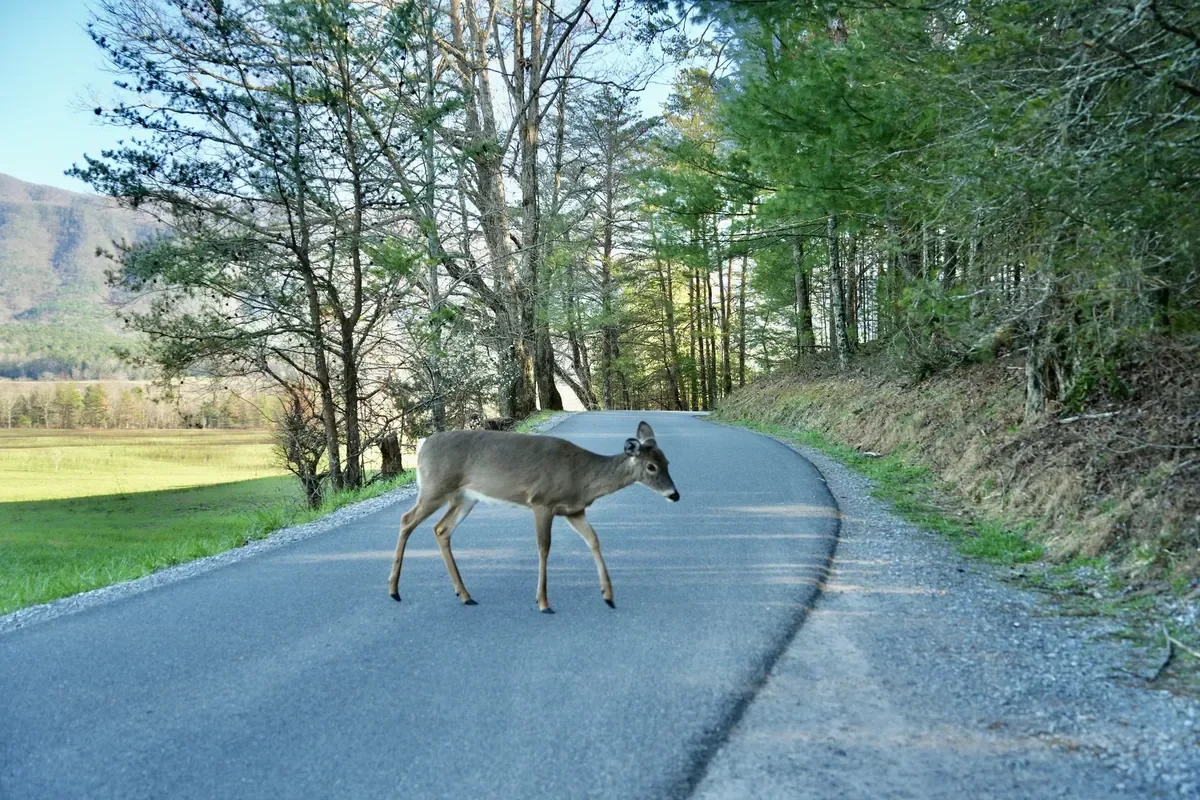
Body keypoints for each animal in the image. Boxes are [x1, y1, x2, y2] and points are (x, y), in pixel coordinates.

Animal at [387, 420, 680, 613]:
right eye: (651, 467)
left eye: (667, 462)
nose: (674, 495)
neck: (582, 478)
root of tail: (423, 444)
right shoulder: (542, 502)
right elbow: (544, 548)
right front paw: (543, 602)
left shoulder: (574, 510)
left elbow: (594, 541)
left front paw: (608, 595)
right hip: (435, 487)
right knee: (406, 520)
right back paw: (394, 590)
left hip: (465, 498)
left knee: (441, 529)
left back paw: (465, 594)